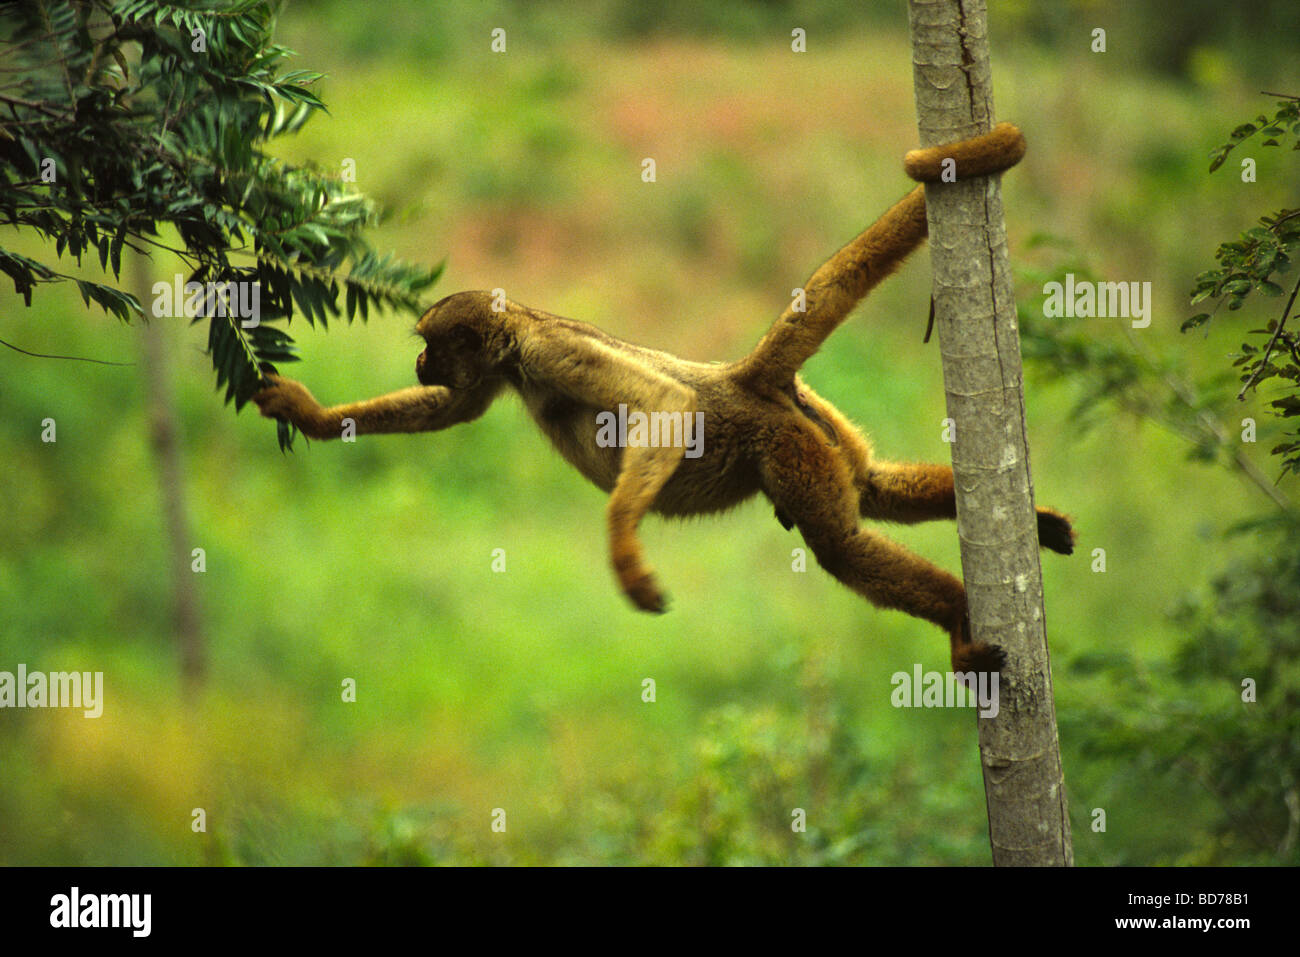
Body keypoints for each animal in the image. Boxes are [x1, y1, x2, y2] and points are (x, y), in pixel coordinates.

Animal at [253, 122, 1072, 676]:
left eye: (428, 342)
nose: (420, 358)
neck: (521, 328)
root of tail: (739, 379)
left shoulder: (548, 353)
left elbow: (664, 405)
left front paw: (624, 551)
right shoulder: (500, 367)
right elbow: (452, 409)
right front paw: (312, 416)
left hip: (782, 443)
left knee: (838, 542)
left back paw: (960, 612)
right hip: (813, 421)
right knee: (871, 487)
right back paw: (1032, 523)